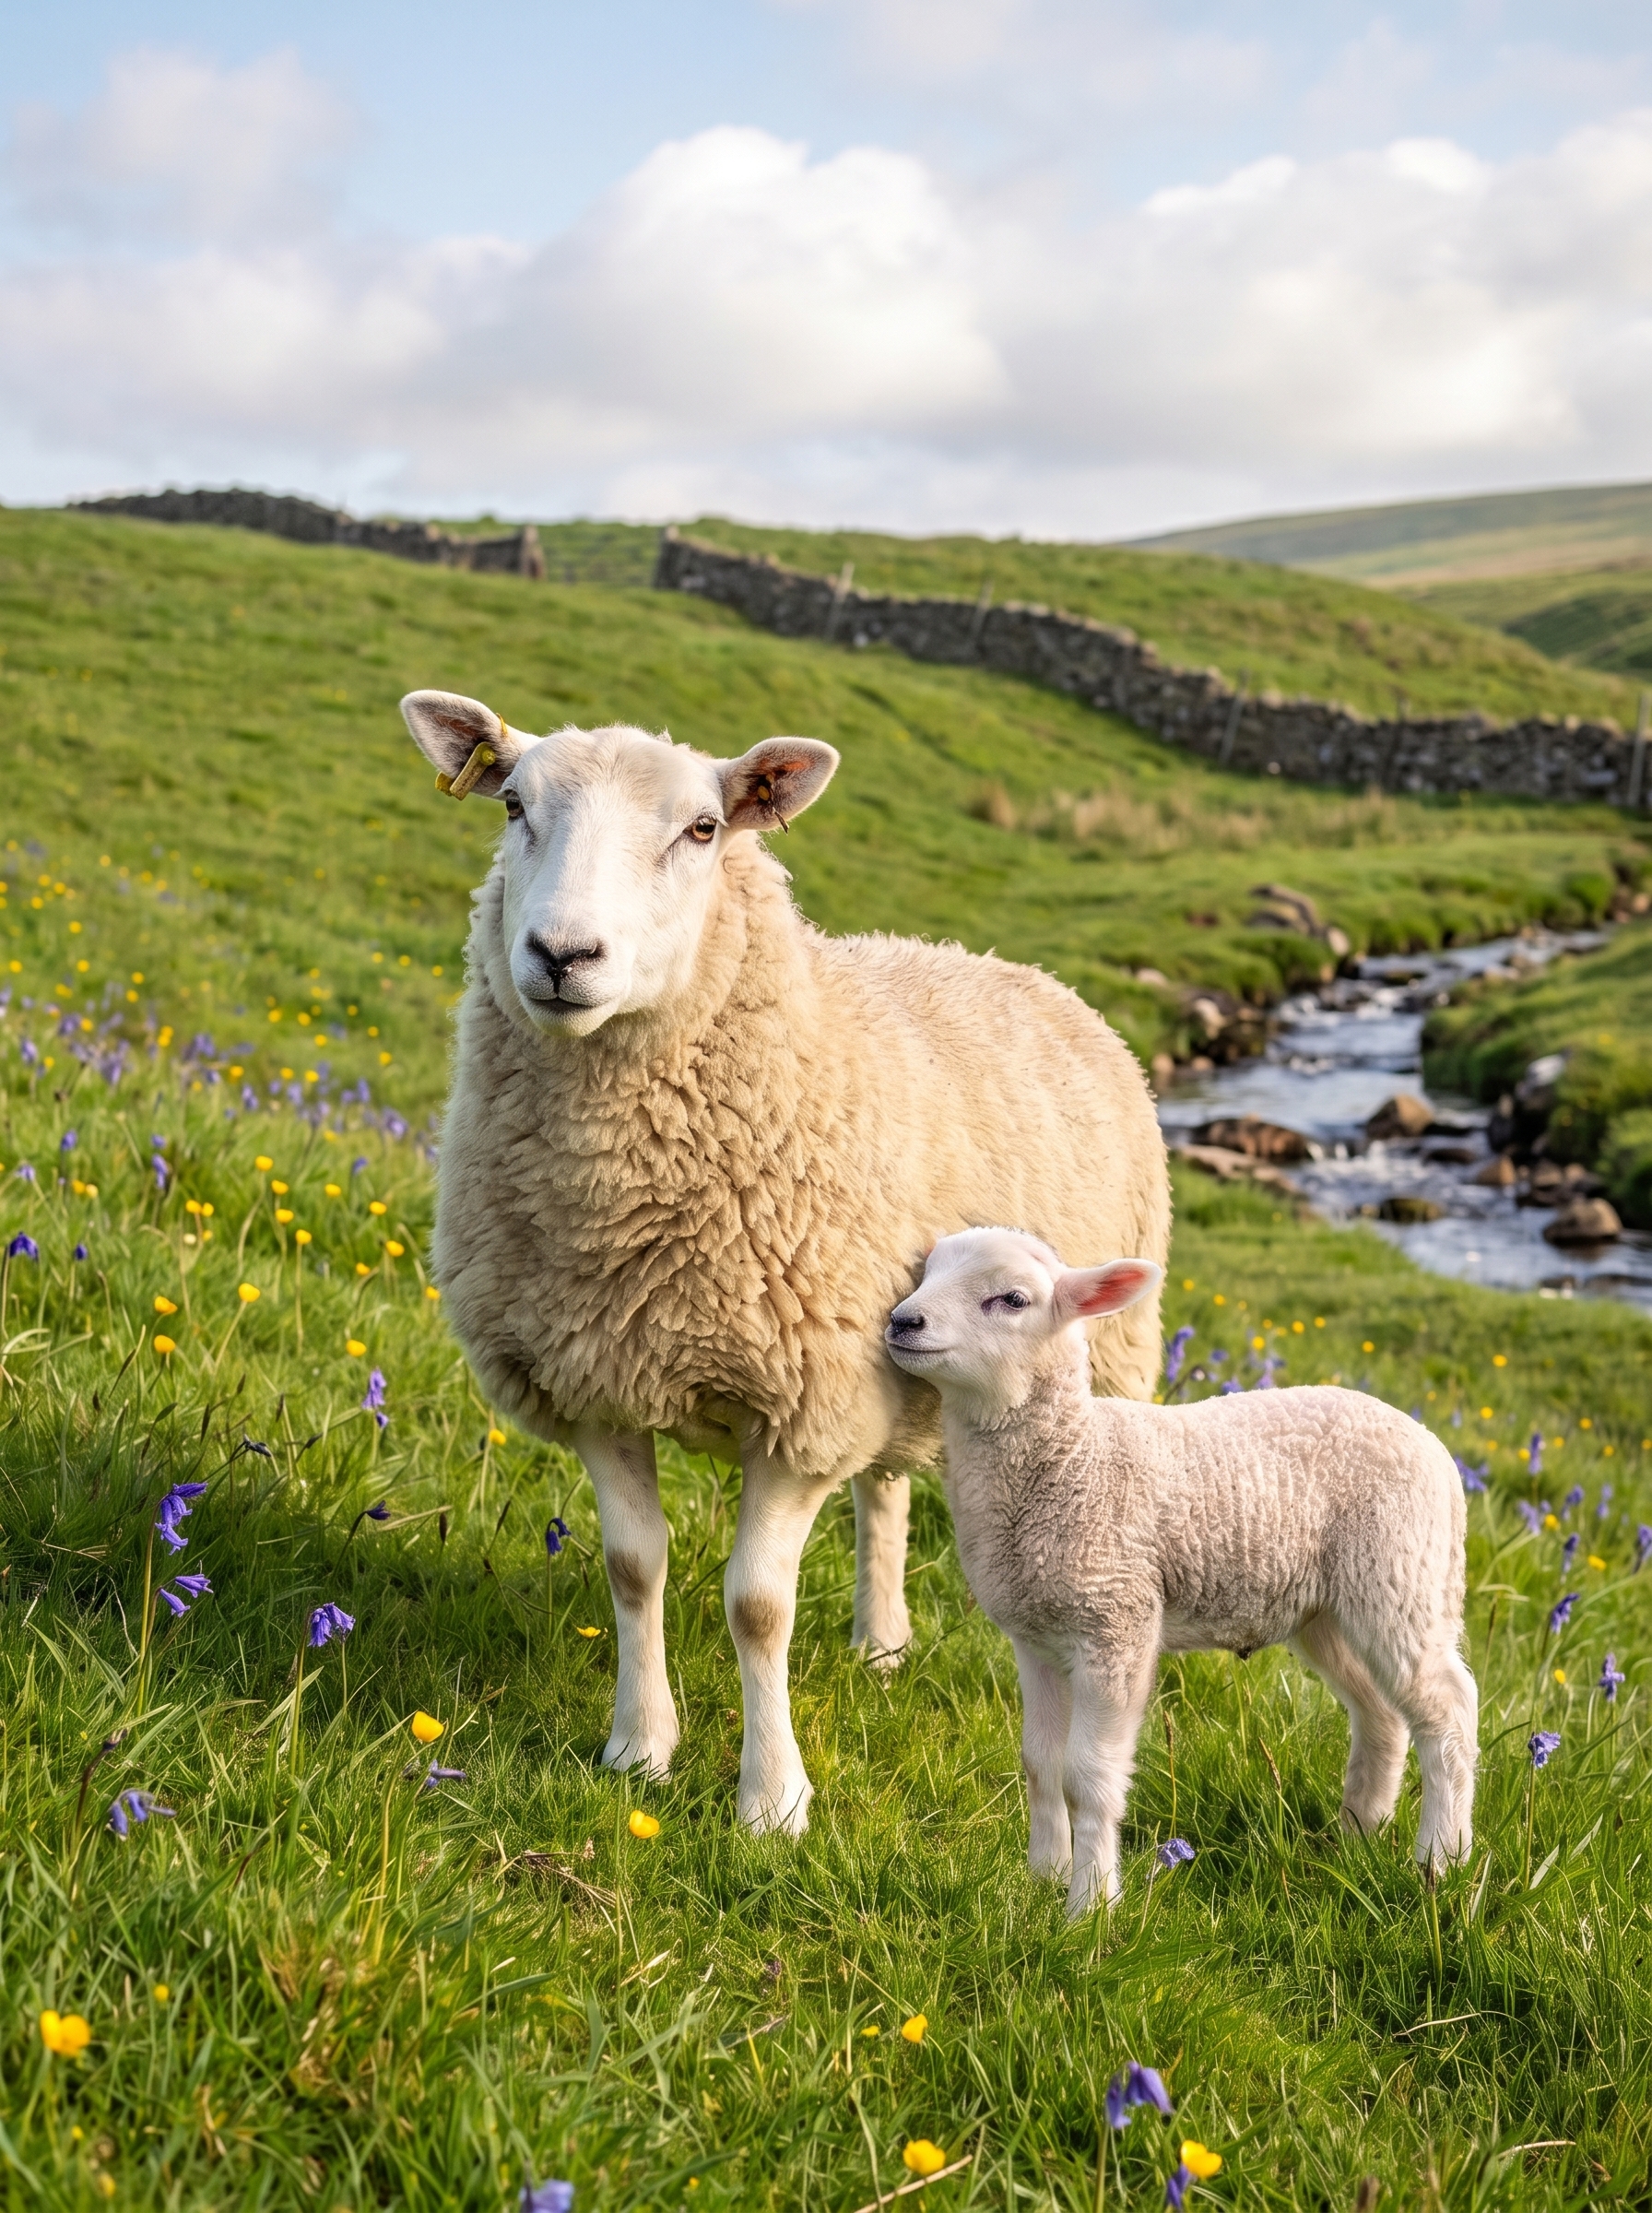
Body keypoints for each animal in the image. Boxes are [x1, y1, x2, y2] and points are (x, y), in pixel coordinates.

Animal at [399, 690, 1171, 1835]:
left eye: (703, 829)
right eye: (511, 807)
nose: (562, 954)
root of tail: (1007, 963)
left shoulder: (805, 1399)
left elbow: (757, 1607)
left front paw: (771, 1800)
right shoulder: (596, 1379)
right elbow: (633, 1570)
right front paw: (639, 1750)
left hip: (1103, 1354)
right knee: (886, 1491)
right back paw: (880, 1646)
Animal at [885, 1227, 1477, 1911]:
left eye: (1012, 1299)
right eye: (926, 1273)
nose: (903, 1321)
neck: (1074, 1458)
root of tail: (1437, 1451)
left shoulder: (1116, 1622)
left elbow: (1087, 1776)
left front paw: (1089, 1906)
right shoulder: (1035, 1638)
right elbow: (1040, 1762)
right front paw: (1042, 1880)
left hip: (1401, 1573)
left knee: (1449, 1711)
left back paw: (1441, 1862)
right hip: (1327, 1608)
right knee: (1382, 1714)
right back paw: (1356, 1836)